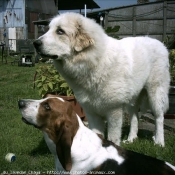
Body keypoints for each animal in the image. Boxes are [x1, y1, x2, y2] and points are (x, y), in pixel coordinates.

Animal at [33, 11, 170, 146]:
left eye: (60, 31)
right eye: (48, 29)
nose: (35, 43)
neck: (94, 61)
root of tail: (159, 43)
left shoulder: (114, 112)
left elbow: (113, 138)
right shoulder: (92, 113)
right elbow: (97, 136)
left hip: (156, 94)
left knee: (159, 118)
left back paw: (159, 141)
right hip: (132, 99)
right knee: (134, 117)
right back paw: (131, 138)